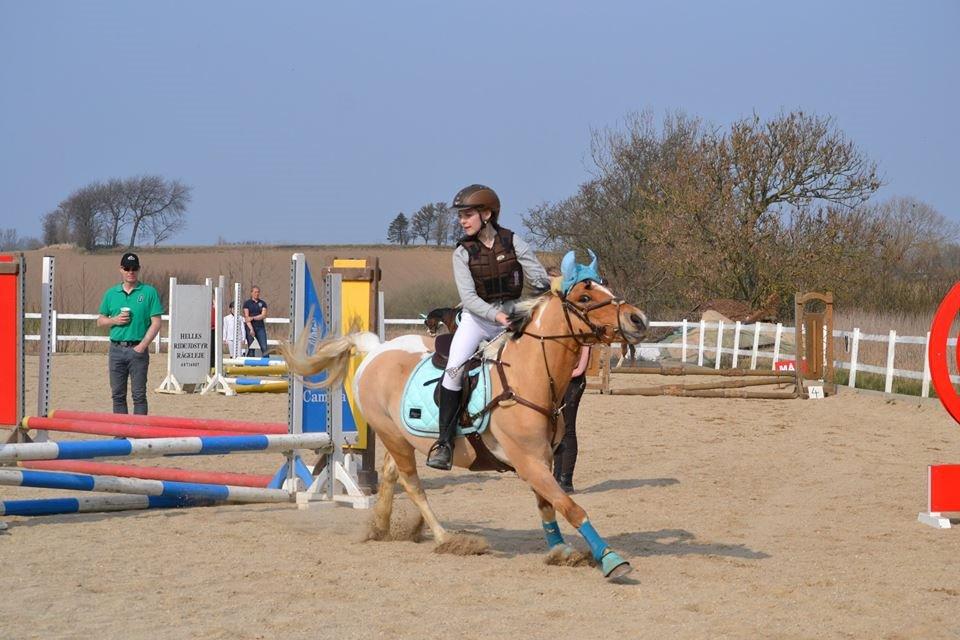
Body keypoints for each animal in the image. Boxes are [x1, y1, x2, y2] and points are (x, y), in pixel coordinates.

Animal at [282, 279, 647, 580]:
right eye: (585, 297)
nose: (638, 319)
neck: (528, 375)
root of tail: (376, 350)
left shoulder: (542, 460)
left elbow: (548, 504)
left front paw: (560, 550)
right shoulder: (528, 462)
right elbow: (570, 506)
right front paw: (610, 559)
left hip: (398, 436)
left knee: (390, 474)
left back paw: (382, 527)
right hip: (392, 435)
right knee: (412, 484)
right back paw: (446, 537)